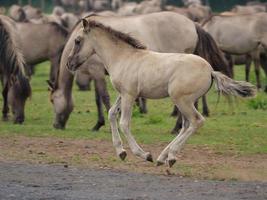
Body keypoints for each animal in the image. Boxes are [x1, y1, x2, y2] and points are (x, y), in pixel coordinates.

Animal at [49, 11, 230, 132]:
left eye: (77, 41)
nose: (56, 125)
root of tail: (193, 23)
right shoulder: (98, 76)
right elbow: (98, 99)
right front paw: (100, 123)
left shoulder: (97, 72)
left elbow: (103, 98)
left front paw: (104, 124)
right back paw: (179, 127)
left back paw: (176, 128)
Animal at [66, 18, 256, 167]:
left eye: (77, 40)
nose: (69, 64)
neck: (123, 57)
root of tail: (211, 71)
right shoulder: (124, 94)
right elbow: (112, 113)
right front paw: (121, 152)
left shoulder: (129, 95)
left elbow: (124, 123)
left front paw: (143, 155)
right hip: (183, 101)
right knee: (186, 125)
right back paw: (163, 157)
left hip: (181, 100)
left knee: (196, 121)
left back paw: (169, 157)